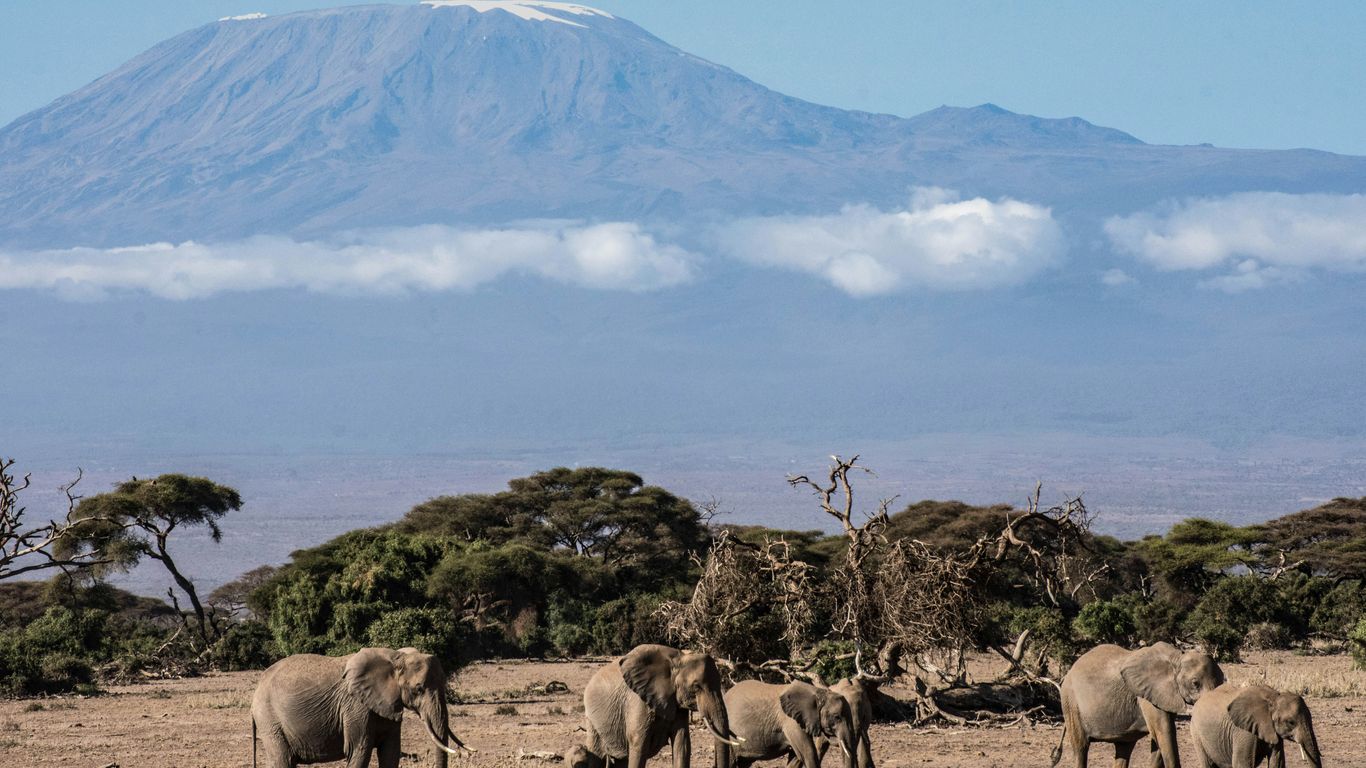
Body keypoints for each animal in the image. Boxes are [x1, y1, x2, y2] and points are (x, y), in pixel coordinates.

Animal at [251, 647, 470, 768]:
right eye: (418, 689)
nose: (463, 753)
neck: (396, 656)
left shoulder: (388, 704)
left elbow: (390, 752)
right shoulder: (356, 706)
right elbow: (359, 750)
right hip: (269, 720)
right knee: (283, 760)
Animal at [580, 643, 741, 768]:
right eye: (696, 687)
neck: (677, 660)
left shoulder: (676, 703)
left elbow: (682, 744)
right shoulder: (638, 702)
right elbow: (639, 746)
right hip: (592, 721)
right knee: (597, 756)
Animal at [1053, 642, 1225, 768]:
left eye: (1222, 681)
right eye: (1195, 683)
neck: (1176, 658)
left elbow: (1160, 738)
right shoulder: (1149, 694)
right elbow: (1165, 732)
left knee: (1123, 749)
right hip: (1071, 703)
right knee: (1081, 748)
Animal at [1190, 682, 1321, 768]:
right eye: (1291, 722)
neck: (1274, 697)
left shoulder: (1272, 730)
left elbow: (1277, 761)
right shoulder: (1243, 731)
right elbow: (1242, 763)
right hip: (1196, 733)